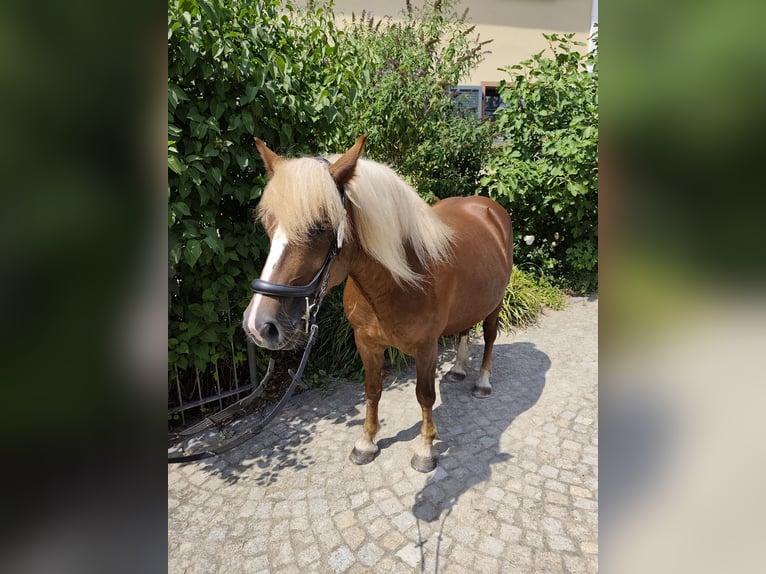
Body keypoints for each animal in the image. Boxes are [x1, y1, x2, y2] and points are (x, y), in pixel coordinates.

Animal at [243, 135, 513, 472]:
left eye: (320, 227)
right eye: (268, 224)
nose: (259, 325)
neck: (395, 282)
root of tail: (488, 209)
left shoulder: (426, 347)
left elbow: (425, 395)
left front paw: (425, 449)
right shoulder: (367, 342)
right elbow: (372, 390)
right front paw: (366, 442)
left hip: (496, 304)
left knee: (488, 337)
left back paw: (482, 382)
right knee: (464, 330)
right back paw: (460, 369)